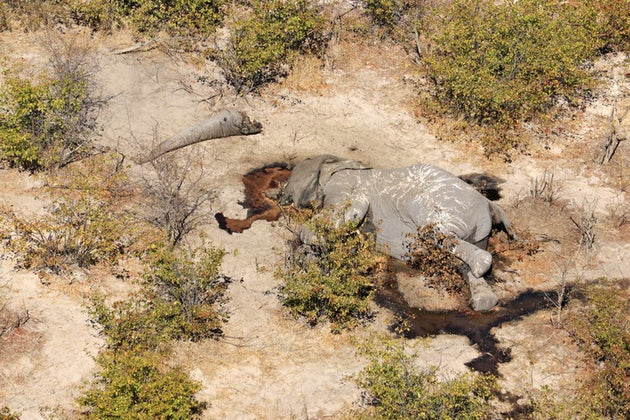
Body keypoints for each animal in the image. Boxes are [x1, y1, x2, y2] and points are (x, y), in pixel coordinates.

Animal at [282, 155, 520, 312]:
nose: (281, 198)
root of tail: (490, 204)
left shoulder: (342, 183)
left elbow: (350, 206)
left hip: (447, 206)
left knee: (436, 233)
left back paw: (481, 266)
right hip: (477, 230)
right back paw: (482, 301)